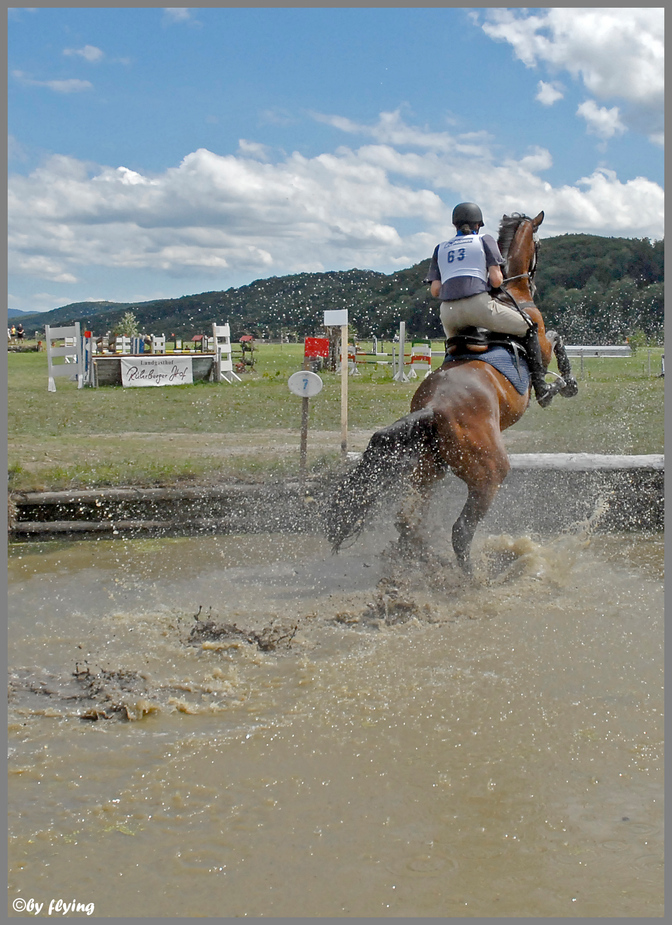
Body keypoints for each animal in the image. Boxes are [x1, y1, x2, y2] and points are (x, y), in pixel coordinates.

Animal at [324, 211, 576, 572]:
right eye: (539, 246)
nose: (535, 281)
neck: (511, 292)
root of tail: (433, 407)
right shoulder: (537, 337)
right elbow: (555, 339)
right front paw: (563, 385)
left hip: (431, 467)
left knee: (407, 520)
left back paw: (420, 564)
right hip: (488, 474)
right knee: (460, 530)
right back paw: (472, 577)